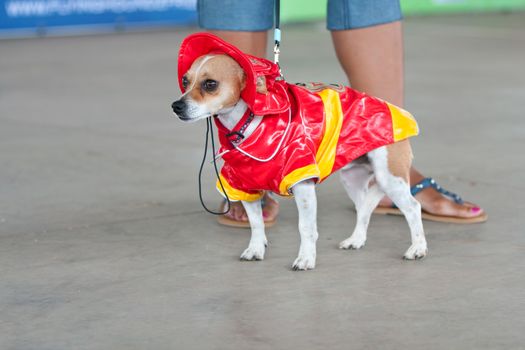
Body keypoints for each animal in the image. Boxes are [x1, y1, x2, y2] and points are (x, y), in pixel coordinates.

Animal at [172, 33, 426, 270]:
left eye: (210, 84)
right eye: (185, 81)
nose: (176, 106)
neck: (247, 124)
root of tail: (394, 109)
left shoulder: (302, 186)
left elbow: (306, 228)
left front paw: (305, 259)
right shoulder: (246, 188)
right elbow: (256, 224)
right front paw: (255, 249)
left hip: (390, 178)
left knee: (412, 208)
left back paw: (417, 248)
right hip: (353, 180)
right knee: (364, 208)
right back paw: (356, 240)